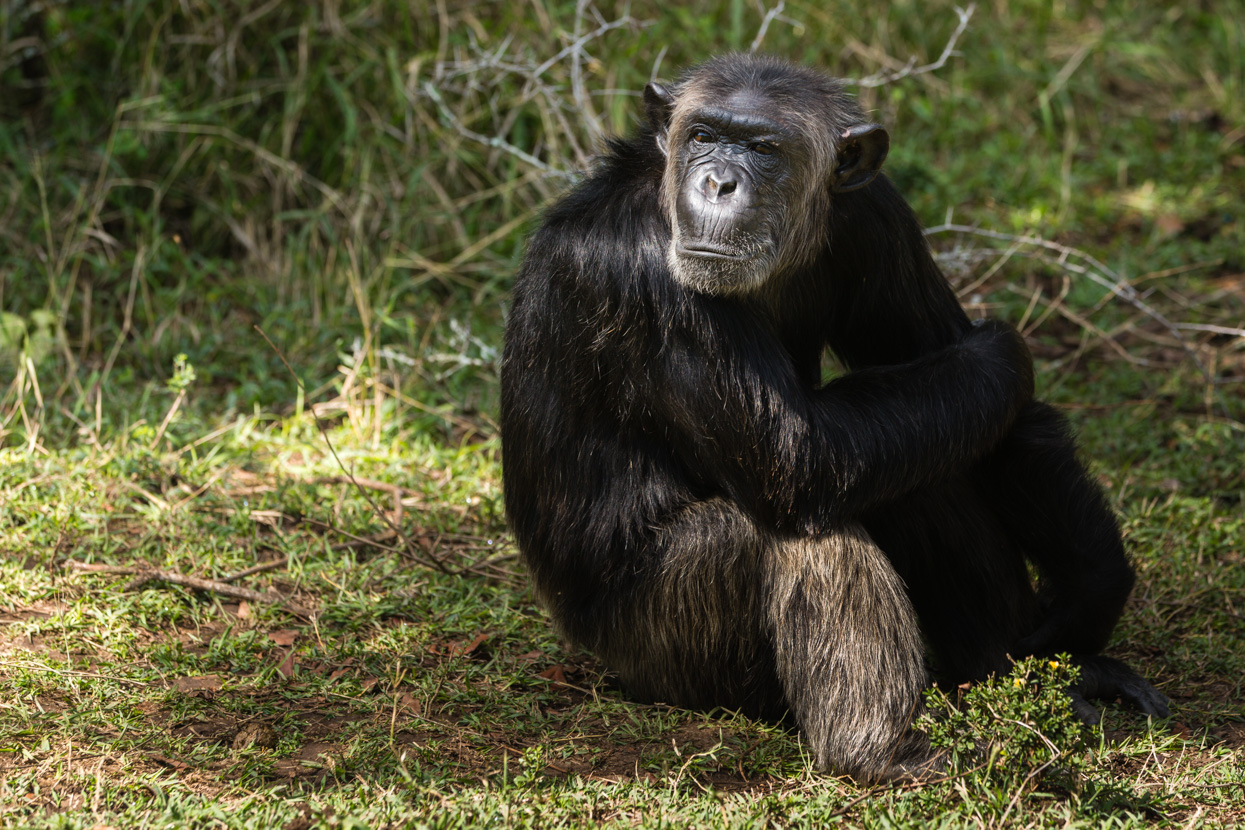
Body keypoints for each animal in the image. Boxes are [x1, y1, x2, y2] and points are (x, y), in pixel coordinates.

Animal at [498, 55, 1165, 781]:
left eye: (763, 149)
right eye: (702, 136)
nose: (718, 181)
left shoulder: (878, 217)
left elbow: (997, 425)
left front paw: (1085, 599)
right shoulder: (647, 272)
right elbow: (794, 453)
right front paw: (1004, 351)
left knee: (920, 464)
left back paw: (1018, 673)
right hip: (655, 652)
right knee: (787, 520)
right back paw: (885, 750)